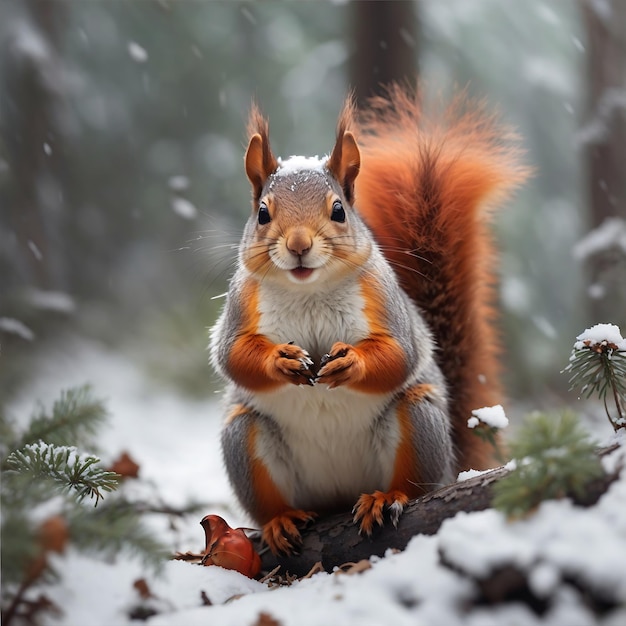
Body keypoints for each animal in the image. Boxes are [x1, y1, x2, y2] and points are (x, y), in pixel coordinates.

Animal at [210, 84, 528, 552]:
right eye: (263, 213)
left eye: (339, 210)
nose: (299, 245)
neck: (310, 292)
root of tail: (339, 496)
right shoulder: (240, 304)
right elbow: (231, 354)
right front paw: (279, 360)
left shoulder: (382, 297)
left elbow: (398, 353)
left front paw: (352, 363)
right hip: (245, 441)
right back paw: (280, 521)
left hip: (418, 422)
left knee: (412, 483)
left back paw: (385, 498)